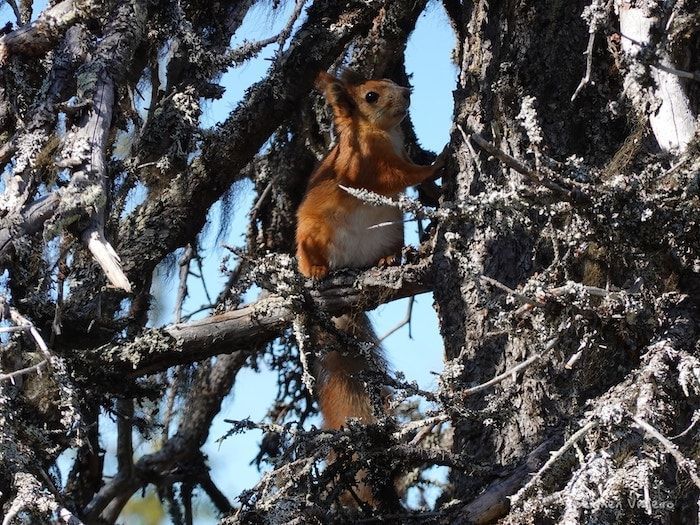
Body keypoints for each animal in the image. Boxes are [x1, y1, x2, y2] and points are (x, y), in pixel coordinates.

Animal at [295, 70, 443, 503]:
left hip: (390, 229)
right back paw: (314, 269)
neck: (380, 134)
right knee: (310, 256)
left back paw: (388, 261)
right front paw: (440, 161)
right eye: (371, 96)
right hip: (311, 233)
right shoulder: (365, 168)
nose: (408, 92)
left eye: (393, 80)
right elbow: (400, 175)